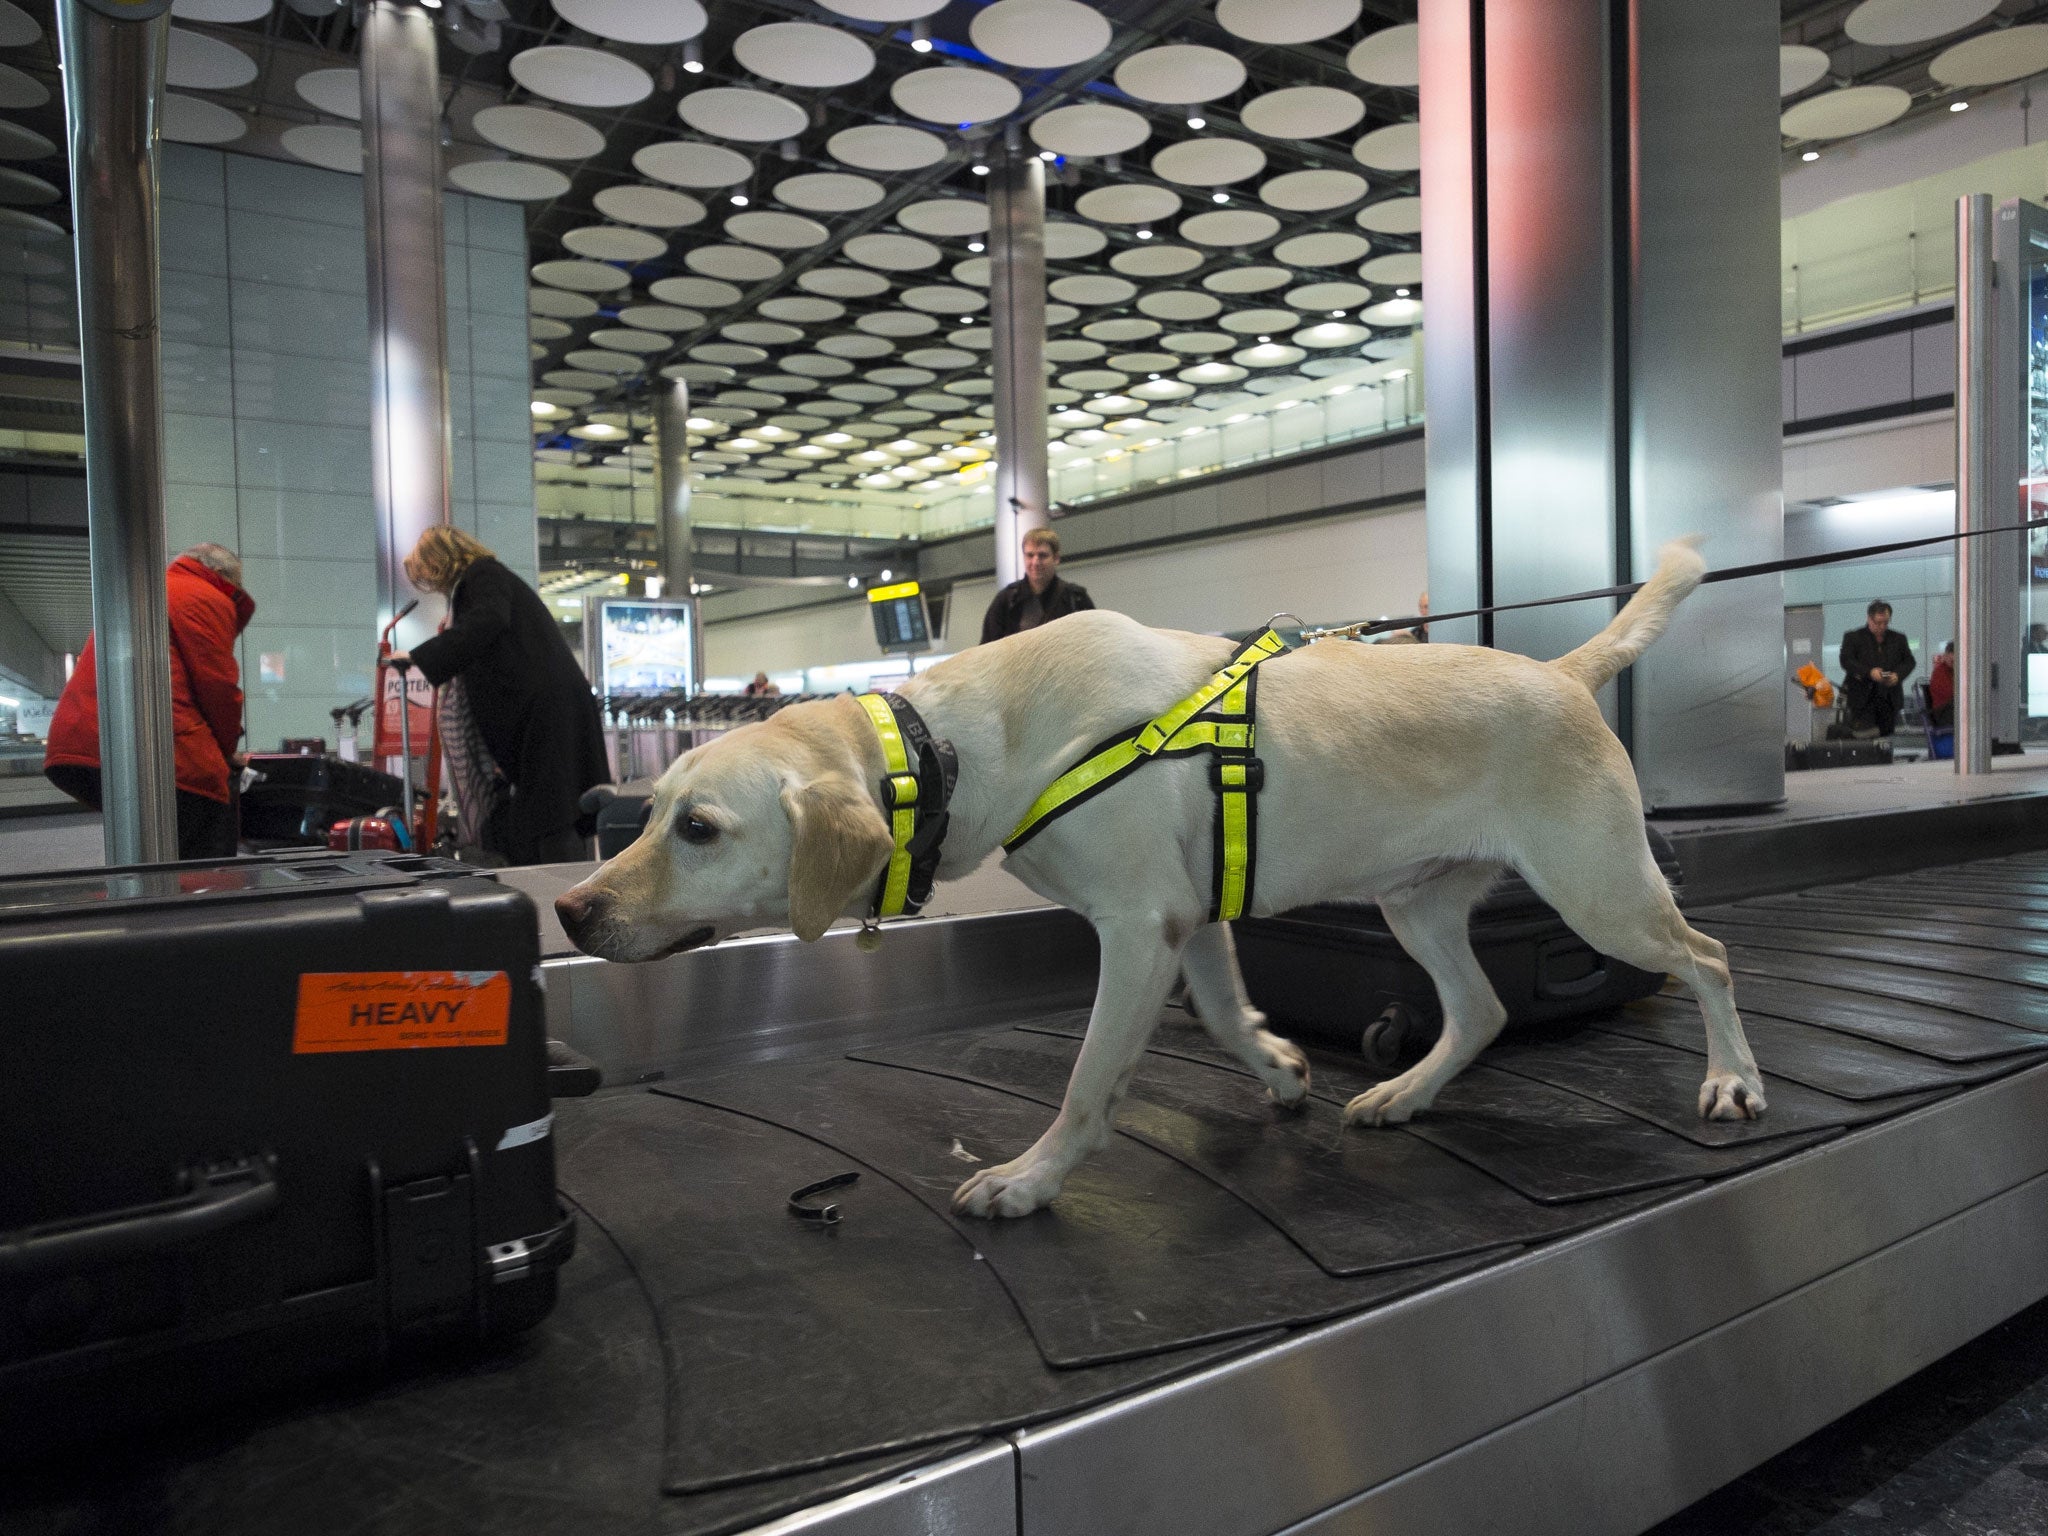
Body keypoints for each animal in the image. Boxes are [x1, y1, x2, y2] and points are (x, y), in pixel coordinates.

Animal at [557, 548, 1761, 1220]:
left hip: (1598, 888)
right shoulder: (1194, 922)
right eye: (650, 813)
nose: (572, 908)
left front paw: (1029, 1181)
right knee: (1481, 1010)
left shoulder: (1138, 929)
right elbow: (1227, 1016)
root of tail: (1561, 674)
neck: (958, 744)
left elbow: (1089, 1083)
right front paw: (1279, 1067)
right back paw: (1403, 1094)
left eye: (699, 829)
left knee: (1707, 957)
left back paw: (1731, 1081)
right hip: (1415, 901)